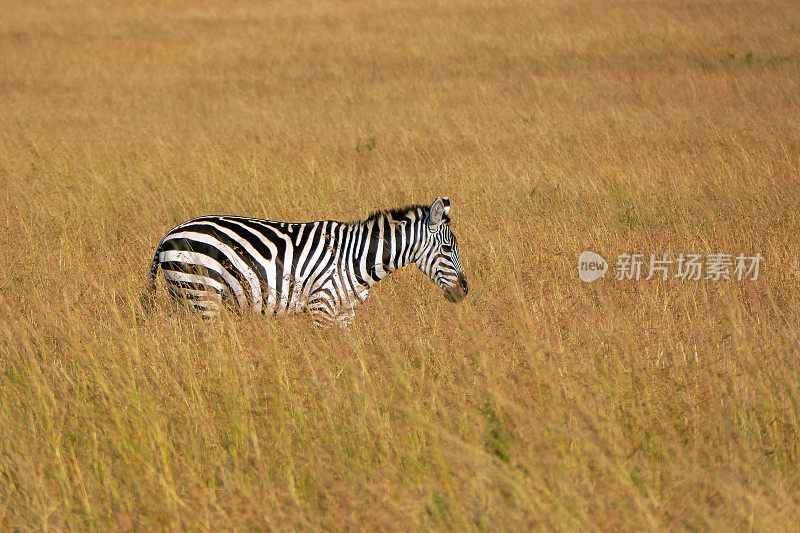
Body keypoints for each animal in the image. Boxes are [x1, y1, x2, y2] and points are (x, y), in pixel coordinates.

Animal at [144, 196, 468, 324]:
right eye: (447, 249)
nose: (464, 291)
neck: (357, 257)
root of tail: (168, 235)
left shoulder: (345, 312)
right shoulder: (321, 306)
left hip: (186, 298)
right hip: (201, 296)